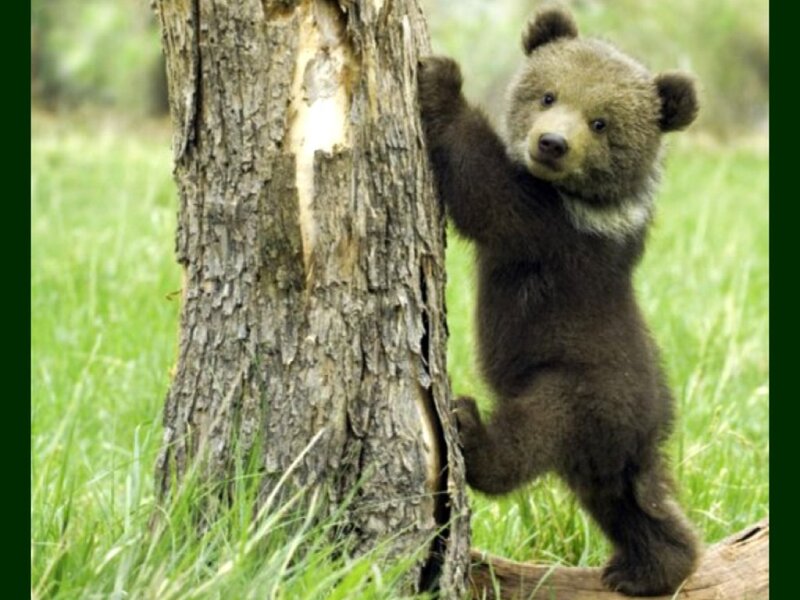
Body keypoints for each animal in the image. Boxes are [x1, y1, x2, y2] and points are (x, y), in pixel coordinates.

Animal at [418, 6, 700, 596]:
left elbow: (487, 192)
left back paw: (471, 432)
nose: (551, 143)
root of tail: (645, 427)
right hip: (610, 453)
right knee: (627, 501)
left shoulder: (556, 233)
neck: (587, 200)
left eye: (601, 122)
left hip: (579, 387)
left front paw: (440, 79)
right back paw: (652, 568)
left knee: (533, 432)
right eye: (548, 95)